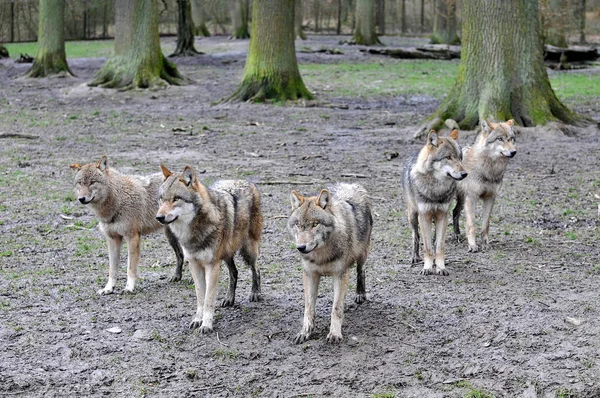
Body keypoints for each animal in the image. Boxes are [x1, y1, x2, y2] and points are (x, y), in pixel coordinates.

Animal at [70, 157, 184, 294]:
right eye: (80, 183)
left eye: (92, 182)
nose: (81, 199)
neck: (118, 200)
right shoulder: (112, 239)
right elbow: (112, 269)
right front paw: (108, 288)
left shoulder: (132, 237)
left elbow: (131, 267)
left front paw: (129, 287)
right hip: (170, 237)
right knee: (181, 255)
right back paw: (177, 277)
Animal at [156, 165, 262, 332]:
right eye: (162, 198)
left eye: (176, 199)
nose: (159, 217)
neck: (194, 231)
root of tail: (245, 180)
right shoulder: (194, 264)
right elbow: (200, 296)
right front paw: (197, 319)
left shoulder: (212, 266)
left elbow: (208, 299)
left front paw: (206, 324)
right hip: (226, 254)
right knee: (234, 273)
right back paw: (229, 298)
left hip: (248, 250)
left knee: (256, 269)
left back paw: (255, 293)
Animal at [286, 182, 370, 344]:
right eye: (298, 224)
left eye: (315, 224)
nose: (301, 247)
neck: (321, 255)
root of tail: (350, 185)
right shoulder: (310, 274)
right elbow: (309, 308)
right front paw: (305, 332)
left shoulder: (340, 274)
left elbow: (336, 308)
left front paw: (335, 334)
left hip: (362, 255)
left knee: (361, 271)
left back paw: (360, 294)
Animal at [404, 129, 468, 276]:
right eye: (448, 157)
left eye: (460, 157)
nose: (465, 174)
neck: (436, 189)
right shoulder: (424, 216)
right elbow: (427, 247)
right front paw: (427, 268)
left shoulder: (443, 216)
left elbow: (439, 247)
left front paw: (440, 268)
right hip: (413, 216)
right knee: (416, 236)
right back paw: (415, 257)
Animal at [452, 119, 516, 253]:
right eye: (500, 139)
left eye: (511, 139)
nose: (513, 152)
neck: (488, 170)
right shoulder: (471, 198)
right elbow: (472, 225)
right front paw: (472, 245)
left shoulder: (490, 198)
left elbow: (485, 224)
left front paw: (485, 244)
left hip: (461, 200)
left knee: (454, 212)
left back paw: (457, 236)